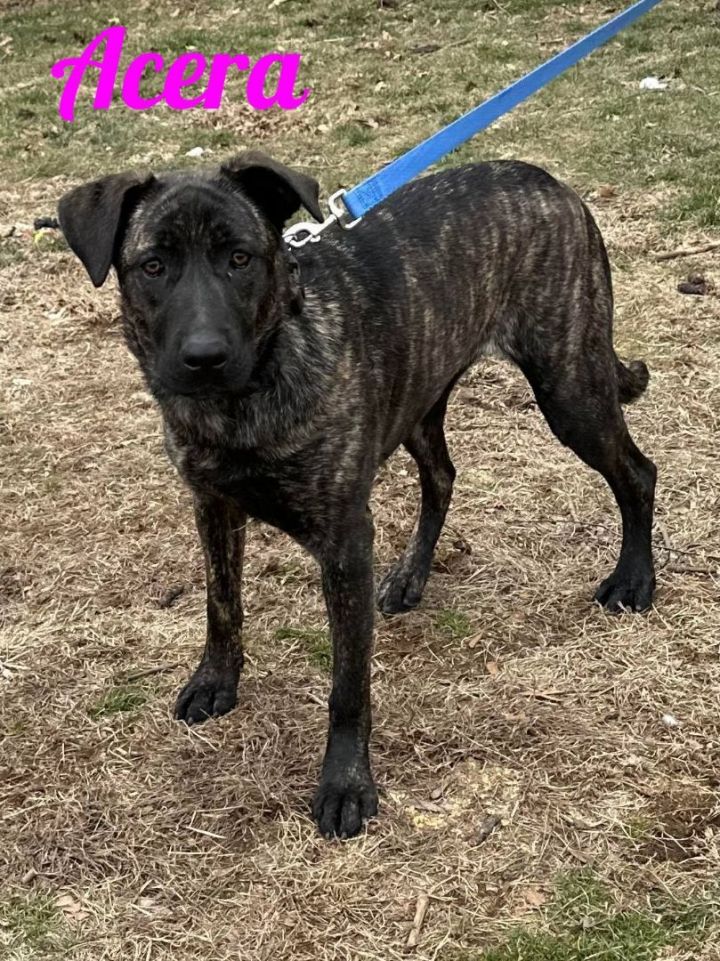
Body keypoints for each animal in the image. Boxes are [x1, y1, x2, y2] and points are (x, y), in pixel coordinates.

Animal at [59, 154, 656, 836]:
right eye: (153, 266)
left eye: (240, 258)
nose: (204, 356)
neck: (247, 396)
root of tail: (550, 181)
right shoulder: (212, 506)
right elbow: (221, 606)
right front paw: (216, 681)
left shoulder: (344, 543)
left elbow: (348, 683)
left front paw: (345, 783)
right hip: (421, 398)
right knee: (443, 475)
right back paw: (410, 577)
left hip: (570, 389)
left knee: (637, 473)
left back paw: (634, 580)